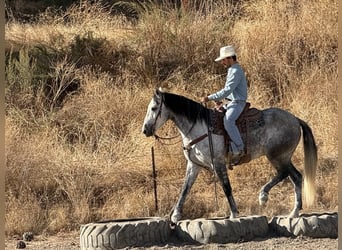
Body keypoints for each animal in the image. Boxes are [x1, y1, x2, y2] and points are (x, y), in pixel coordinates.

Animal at [140, 88, 316, 225]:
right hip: (283, 157)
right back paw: (294, 212)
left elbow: (226, 187)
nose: (145, 130)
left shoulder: (217, 163)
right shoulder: (193, 165)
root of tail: (295, 119)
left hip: (277, 156)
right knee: (296, 177)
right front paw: (175, 216)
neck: (199, 127)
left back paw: (263, 196)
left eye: (154, 108)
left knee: (285, 173)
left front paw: (234, 213)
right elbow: (185, 188)